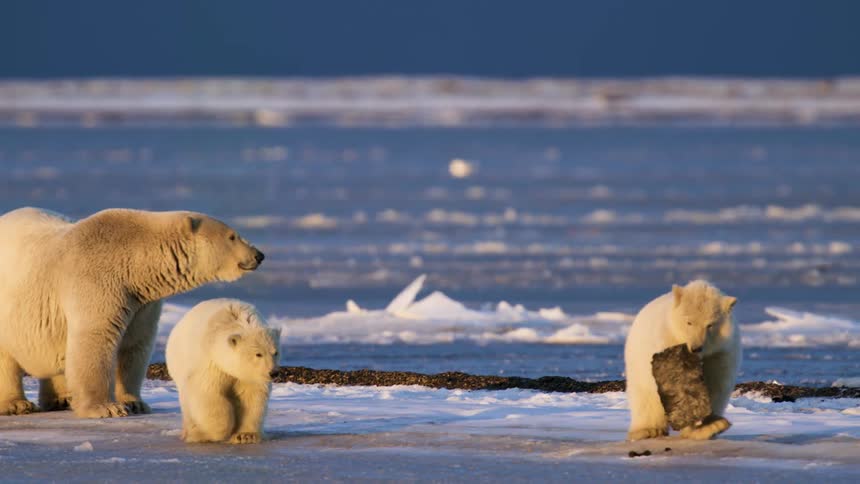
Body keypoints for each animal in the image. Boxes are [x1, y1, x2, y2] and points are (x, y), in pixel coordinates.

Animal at [0, 207, 264, 419]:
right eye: (232, 236)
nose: (259, 255)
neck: (133, 262)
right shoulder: (97, 281)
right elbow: (95, 340)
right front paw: (106, 408)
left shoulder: (141, 301)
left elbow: (134, 345)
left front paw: (135, 403)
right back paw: (16, 404)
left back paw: (61, 398)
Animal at [166, 299, 280, 444]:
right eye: (258, 354)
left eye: (275, 352)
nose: (274, 373)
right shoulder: (211, 364)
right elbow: (207, 393)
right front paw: (213, 434)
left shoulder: (249, 375)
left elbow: (252, 396)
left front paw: (245, 436)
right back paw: (191, 432)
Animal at [624, 280, 741, 441]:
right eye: (689, 322)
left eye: (710, 325)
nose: (696, 347)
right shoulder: (667, 340)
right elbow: (676, 379)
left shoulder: (721, 352)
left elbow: (716, 384)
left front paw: (708, 426)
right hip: (637, 360)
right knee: (645, 397)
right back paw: (647, 430)